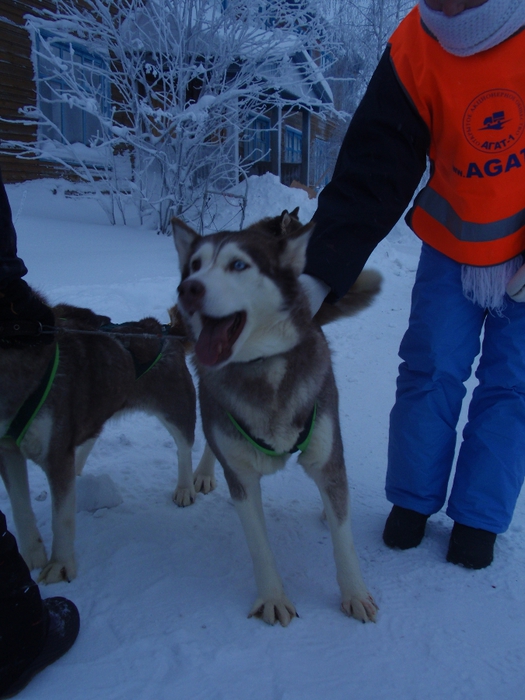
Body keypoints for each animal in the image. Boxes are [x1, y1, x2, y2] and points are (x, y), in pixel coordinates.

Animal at [0, 304, 215, 584]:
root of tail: (160, 330)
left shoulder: (56, 451)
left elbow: (62, 518)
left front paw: (60, 565)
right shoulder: (9, 449)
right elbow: (20, 507)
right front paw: (30, 558)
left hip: (175, 409)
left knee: (184, 447)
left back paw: (184, 487)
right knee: (89, 439)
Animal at [173, 211, 380, 628]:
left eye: (238, 265)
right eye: (195, 265)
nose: (188, 288)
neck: (263, 369)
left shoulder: (327, 458)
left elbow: (344, 540)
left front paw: (354, 593)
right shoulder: (242, 476)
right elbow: (259, 545)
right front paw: (272, 598)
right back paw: (203, 470)